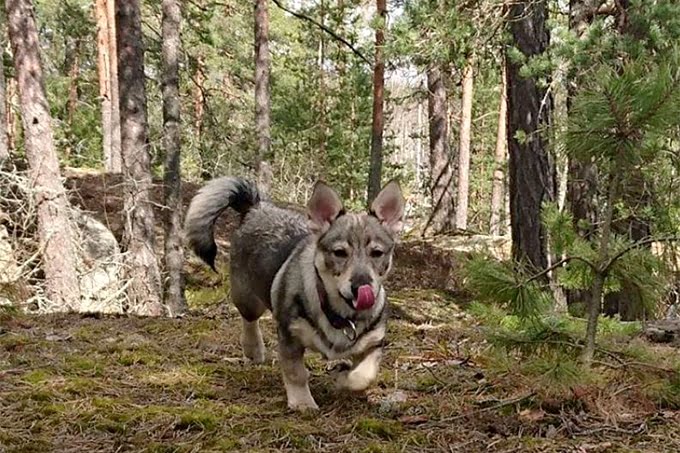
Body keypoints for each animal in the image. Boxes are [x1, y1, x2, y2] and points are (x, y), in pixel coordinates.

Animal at [183, 177, 404, 410]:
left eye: (377, 253)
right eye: (340, 253)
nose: (361, 286)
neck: (340, 315)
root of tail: (256, 207)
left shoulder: (374, 344)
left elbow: (364, 376)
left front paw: (343, 379)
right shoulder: (289, 336)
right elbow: (295, 372)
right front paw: (302, 402)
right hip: (248, 299)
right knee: (249, 321)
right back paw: (254, 349)